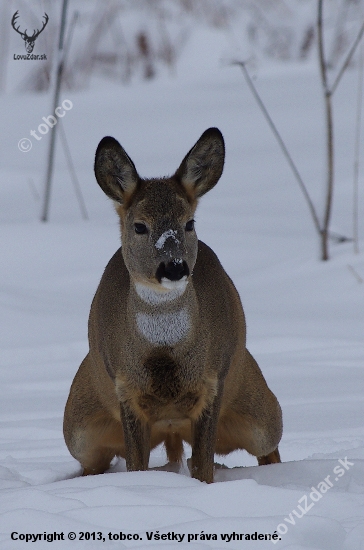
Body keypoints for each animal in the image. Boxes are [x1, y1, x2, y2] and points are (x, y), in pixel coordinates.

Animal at [64, 128, 282, 484]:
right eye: (139, 226)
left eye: (189, 222)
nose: (175, 267)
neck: (164, 355)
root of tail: (171, 432)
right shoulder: (124, 387)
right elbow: (136, 465)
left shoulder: (214, 380)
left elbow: (203, 468)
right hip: (77, 430)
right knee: (92, 465)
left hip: (260, 409)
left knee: (269, 446)